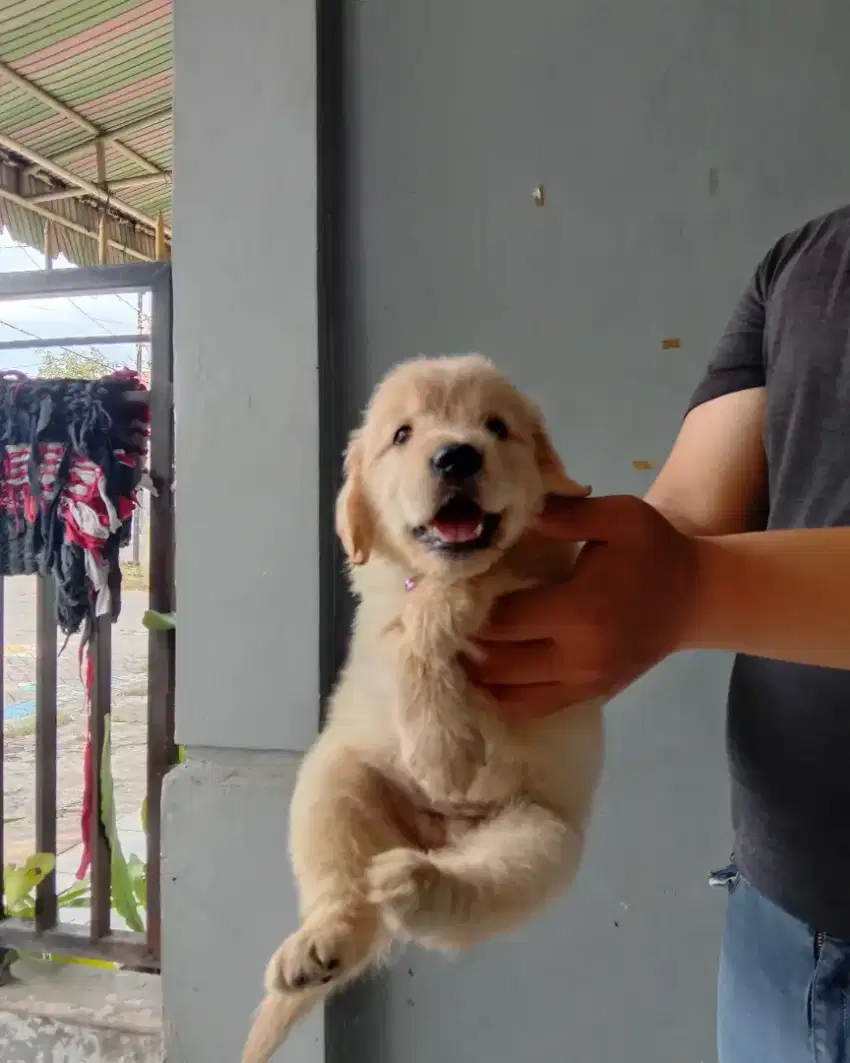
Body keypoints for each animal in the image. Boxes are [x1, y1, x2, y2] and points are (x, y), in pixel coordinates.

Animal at [241, 355, 603, 1063]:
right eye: (403, 435)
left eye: (496, 427)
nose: (457, 455)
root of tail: (432, 836)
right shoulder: (381, 608)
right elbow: (406, 624)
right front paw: (440, 741)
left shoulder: (533, 580)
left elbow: (443, 602)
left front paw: (441, 748)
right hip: (332, 783)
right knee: (342, 892)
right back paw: (317, 945)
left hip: (538, 839)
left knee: (470, 895)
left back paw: (421, 886)